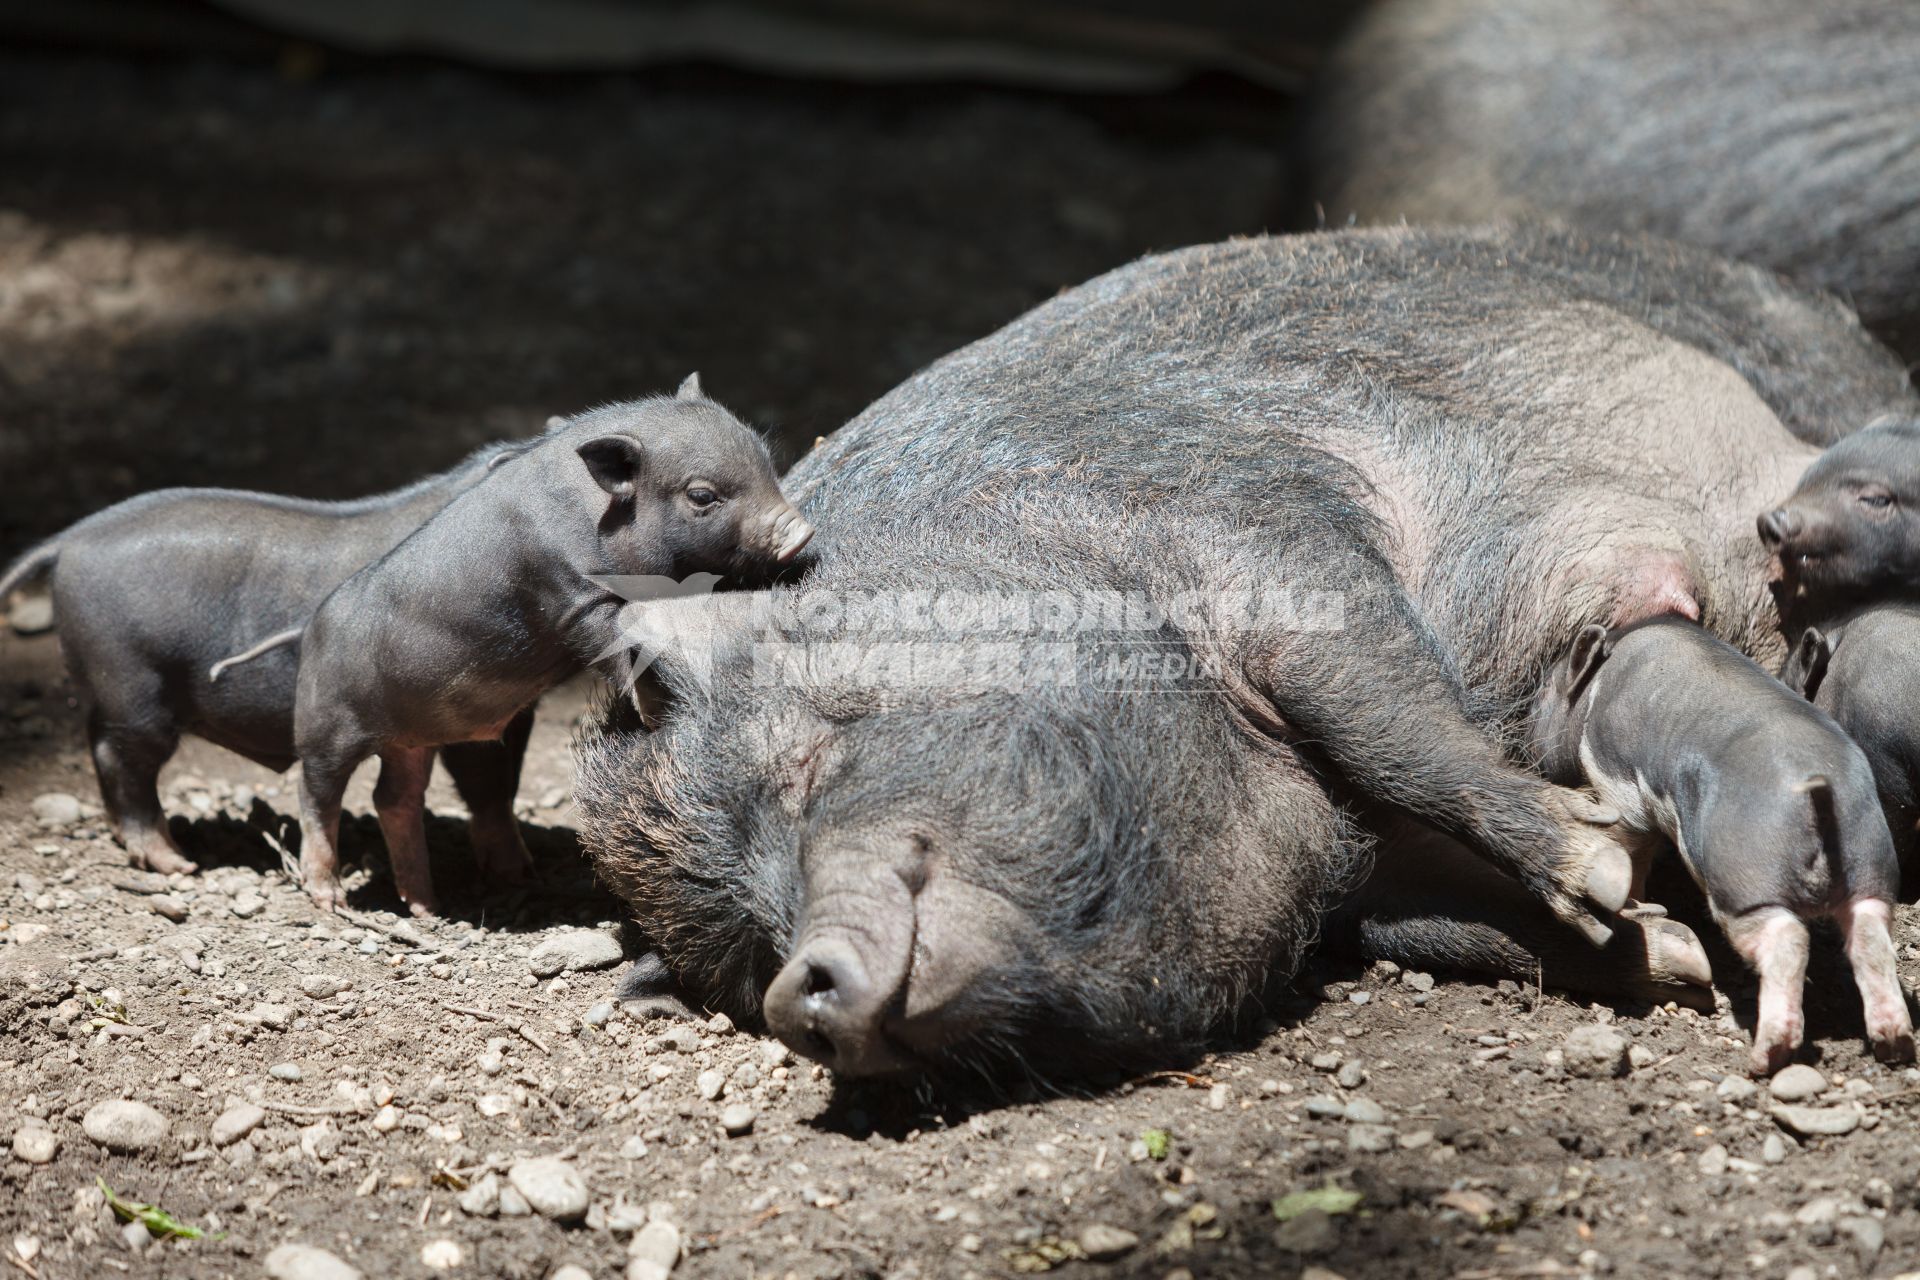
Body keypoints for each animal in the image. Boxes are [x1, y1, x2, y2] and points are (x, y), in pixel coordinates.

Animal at [572, 227, 1920, 1082]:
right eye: (750, 948)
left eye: (804, 769)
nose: (801, 987)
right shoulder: (1365, 885)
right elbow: (1439, 925)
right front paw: (1662, 947)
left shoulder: (1261, 529)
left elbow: (1387, 715)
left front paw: (1602, 863)